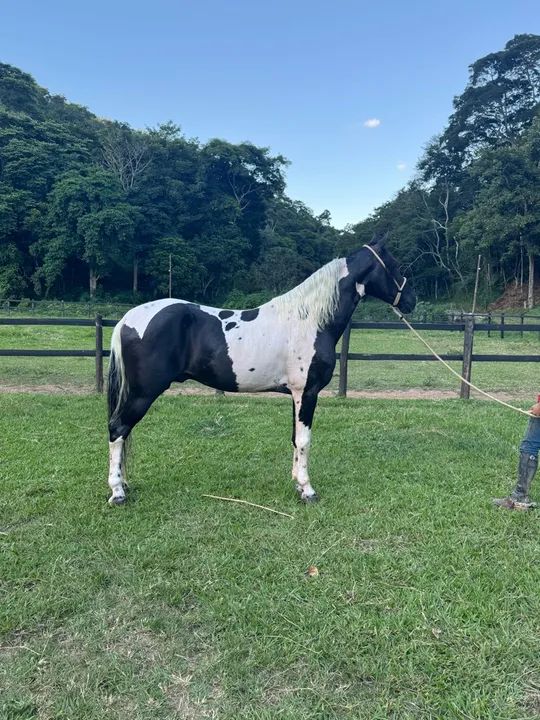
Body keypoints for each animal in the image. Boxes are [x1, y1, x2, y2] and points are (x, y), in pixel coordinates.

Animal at [106, 239, 416, 505]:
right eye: (395, 265)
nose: (411, 300)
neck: (310, 320)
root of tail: (126, 319)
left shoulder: (296, 395)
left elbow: (294, 439)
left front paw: (297, 484)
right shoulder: (308, 392)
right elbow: (304, 440)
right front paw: (308, 490)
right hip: (143, 393)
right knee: (117, 429)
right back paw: (117, 492)